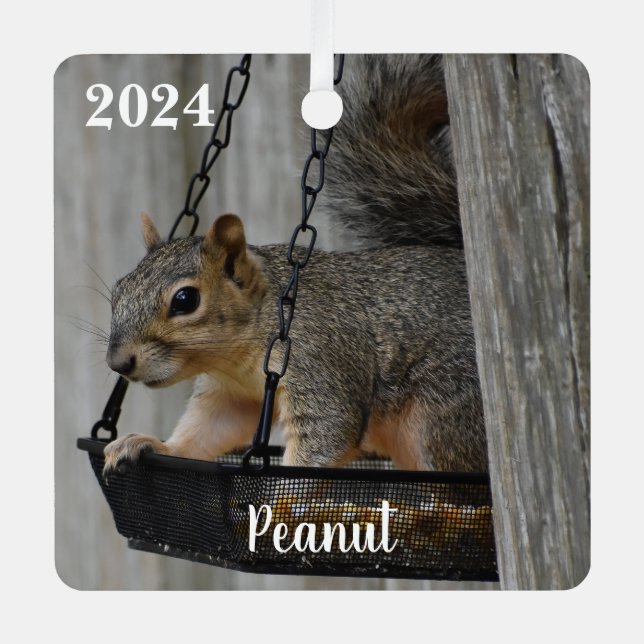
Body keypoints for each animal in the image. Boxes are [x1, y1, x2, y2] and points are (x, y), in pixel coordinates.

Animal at [102, 54, 488, 478]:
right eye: (118, 290)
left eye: (185, 300)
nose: (118, 362)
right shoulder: (232, 395)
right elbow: (207, 432)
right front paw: (152, 444)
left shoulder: (318, 358)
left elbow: (326, 433)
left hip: (444, 414)